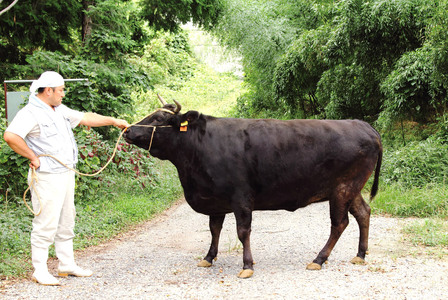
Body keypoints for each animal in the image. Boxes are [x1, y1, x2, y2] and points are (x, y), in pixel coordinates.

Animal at [122, 101, 382, 278]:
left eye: (158, 119)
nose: (127, 130)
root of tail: (363, 125)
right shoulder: (216, 199)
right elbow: (214, 229)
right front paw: (209, 257)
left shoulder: (241, 197)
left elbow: (243, 232)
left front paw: (247, 265)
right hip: (352, 189)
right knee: (363, 213)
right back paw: (360, 254)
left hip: (342, 188)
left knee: (340, 223)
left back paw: (319, 258)